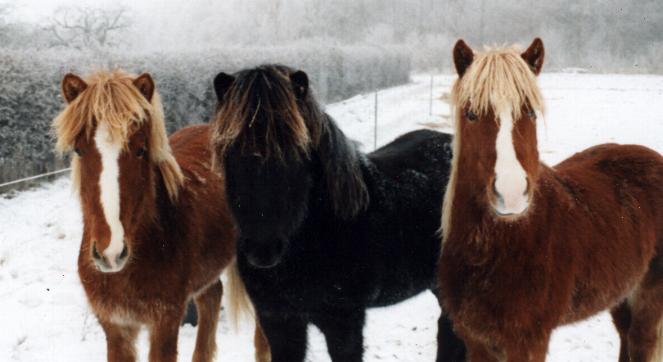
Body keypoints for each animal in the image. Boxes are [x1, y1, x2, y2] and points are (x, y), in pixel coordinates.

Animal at [52, 70, 270, 362]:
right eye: (78, 150)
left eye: (141, 150)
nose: (111, 252)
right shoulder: (116, 328)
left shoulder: (165, 323)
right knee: (212, 298)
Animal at [440, 37, 663, 362]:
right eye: (472, 114)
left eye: (531, 112)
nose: (511, 193)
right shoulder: (476, 342)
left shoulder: (529, 342)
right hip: (623, 296)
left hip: (650, 298)